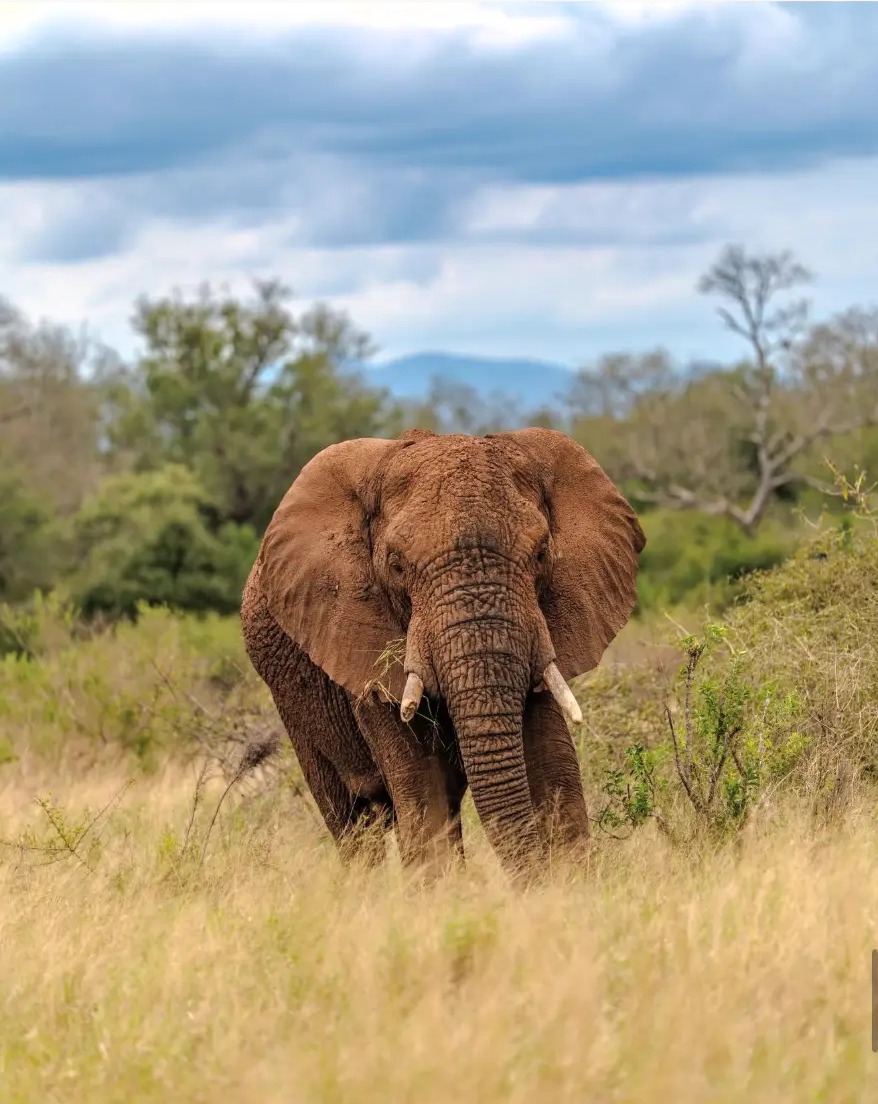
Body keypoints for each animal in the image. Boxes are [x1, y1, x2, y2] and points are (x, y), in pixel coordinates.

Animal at [241, 427, 645, 881]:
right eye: (397, 566)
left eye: (542, 554)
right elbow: (423, 789)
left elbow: (552, 769)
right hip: (294, 708)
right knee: (352, 821)